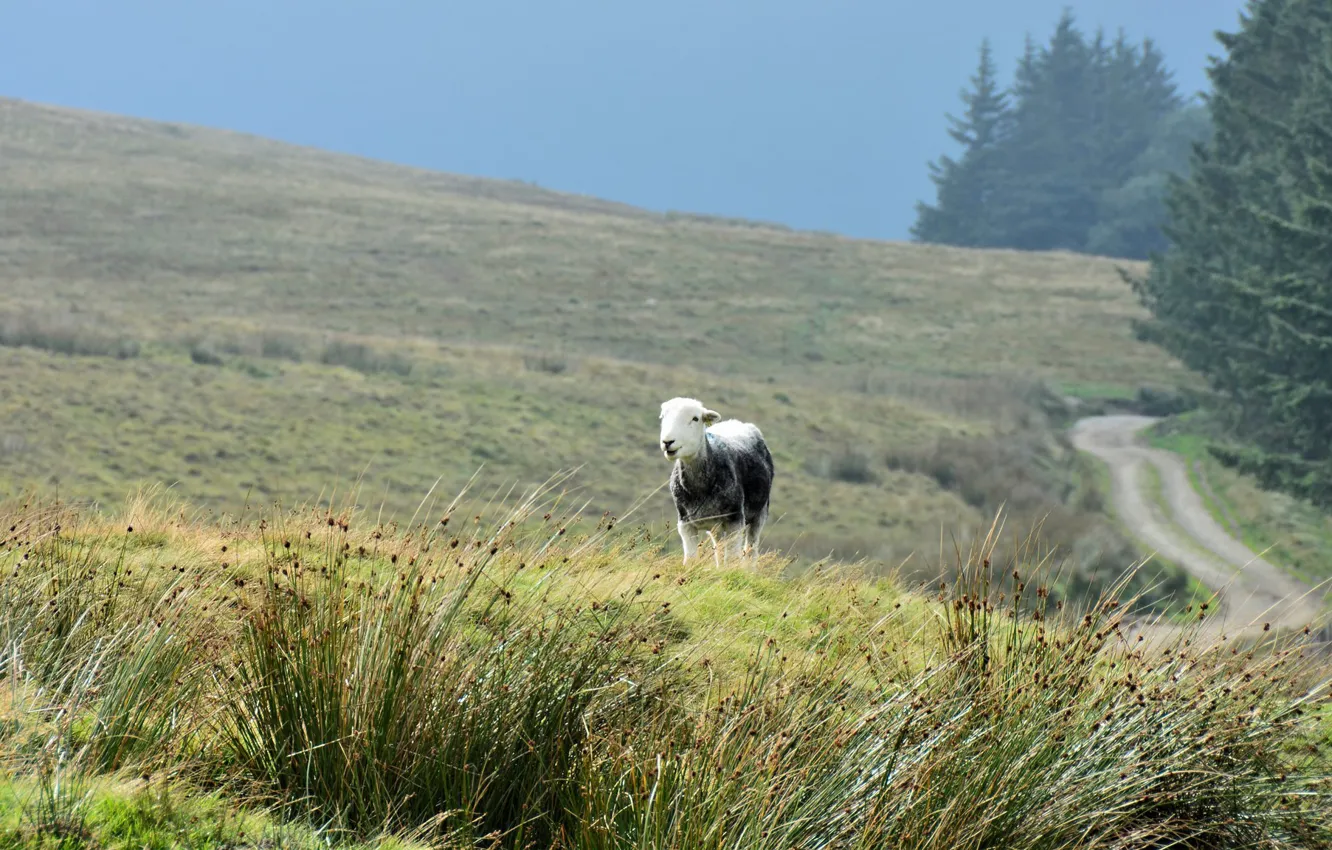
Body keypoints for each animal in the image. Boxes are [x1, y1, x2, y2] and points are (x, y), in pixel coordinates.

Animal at [652, 397, 772, 564]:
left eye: (695, 418)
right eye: (663, 417)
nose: (667, 442)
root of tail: (737, 422)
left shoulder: (735, 519)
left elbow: (733, 559)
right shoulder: (685, 523)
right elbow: (691, 559)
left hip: (760, 513)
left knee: (751, 552)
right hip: (716, 527)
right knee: (719, 551)